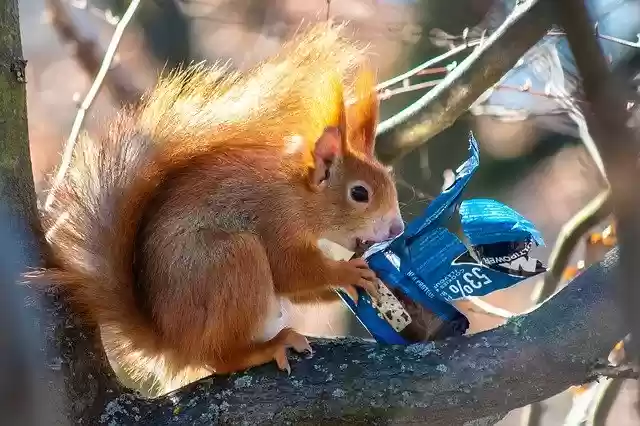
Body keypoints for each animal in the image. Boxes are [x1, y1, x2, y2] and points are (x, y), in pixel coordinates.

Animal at [34, 23, 404, 393]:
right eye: (359, 193)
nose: (398, 229)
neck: (299, 196)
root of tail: (174, 345)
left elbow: (298, 290)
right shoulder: (274, 220)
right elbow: (290, 270)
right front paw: (346, 273)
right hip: (232, 262)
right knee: (220, 357)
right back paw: (267, 348)